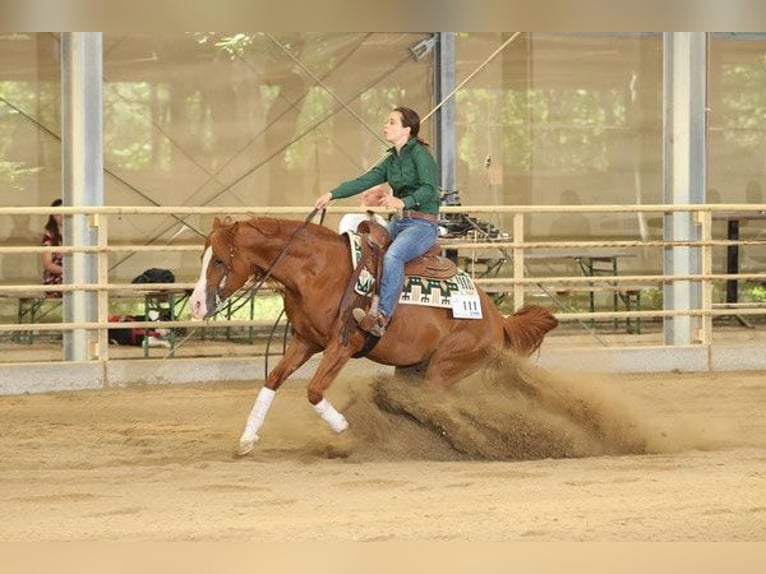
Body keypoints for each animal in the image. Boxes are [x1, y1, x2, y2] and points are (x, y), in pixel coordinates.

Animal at [190, 215, 559, 456]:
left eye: (219, 260)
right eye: (203, 256)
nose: (195, 304)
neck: (317, 270)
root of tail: (498, 320)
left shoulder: (342, 345)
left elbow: (314, 391)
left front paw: (344, 431)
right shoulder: (305, 341)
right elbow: (273, 380)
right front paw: (247, 439)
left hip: (446, 367)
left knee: (437, 405)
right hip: (413, 369)